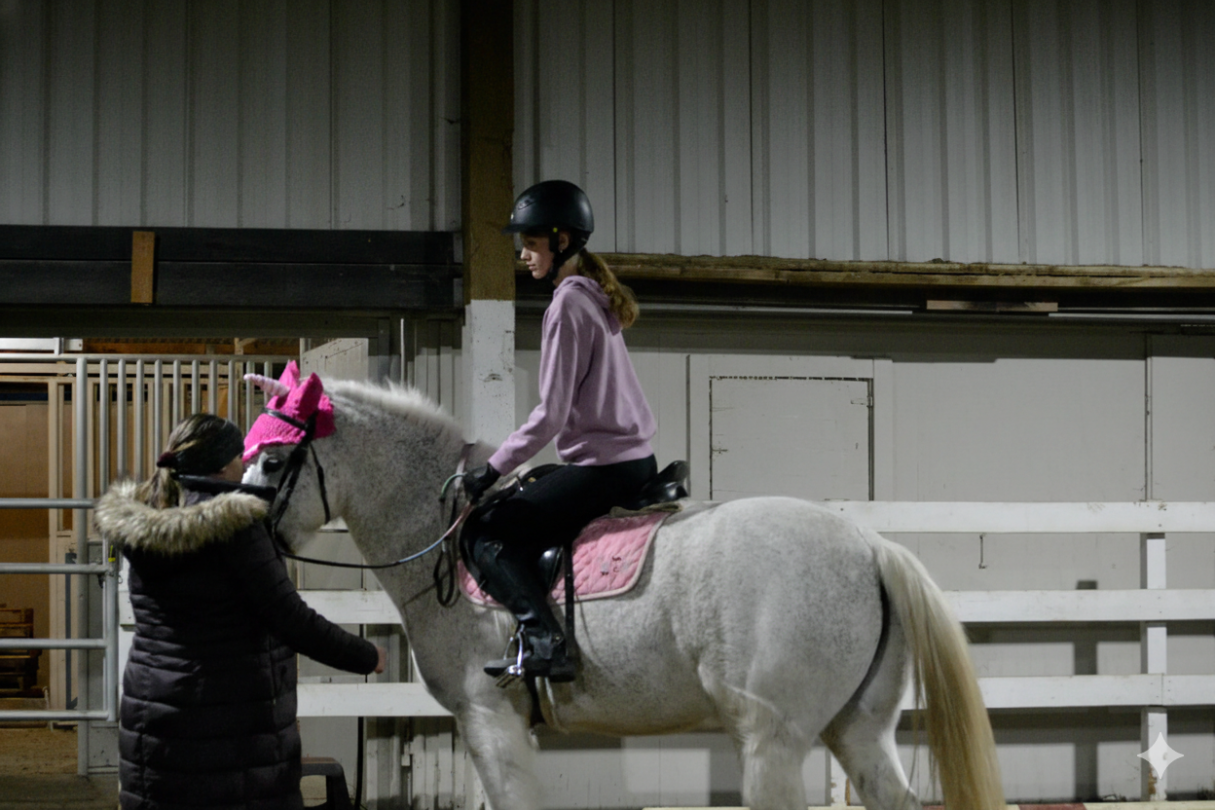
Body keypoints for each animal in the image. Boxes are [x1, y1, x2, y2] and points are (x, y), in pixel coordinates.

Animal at [242, 377, 1005, 810]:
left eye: (274, 460)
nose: (251, 531)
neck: (447, 533)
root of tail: (868, 544)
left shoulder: (488, 718)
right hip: (858, 730)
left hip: (773, 741)